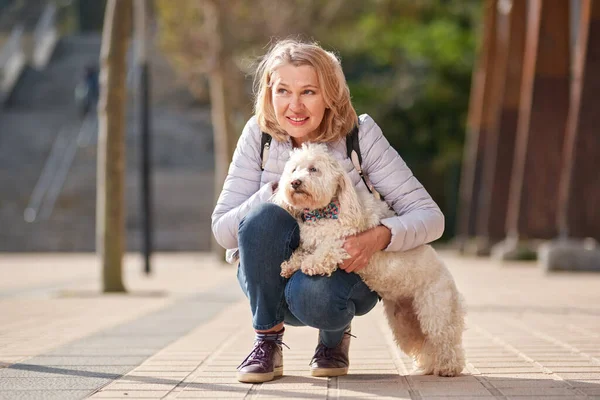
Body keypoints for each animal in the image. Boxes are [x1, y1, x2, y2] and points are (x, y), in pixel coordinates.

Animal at [274, 144, 466, 378]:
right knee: (423, 343)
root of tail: (449, 280)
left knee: (445, 339)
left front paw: (309, 264)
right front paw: (290, 265)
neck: (325, 211)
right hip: (405, 323)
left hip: (435, 311)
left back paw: (448, 367)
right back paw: (429, 366)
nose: (295, 182)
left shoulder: (343, 244)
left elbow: (325, 252)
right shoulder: (310, 241)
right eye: (294, 170)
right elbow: (302, 252)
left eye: (313, 169)